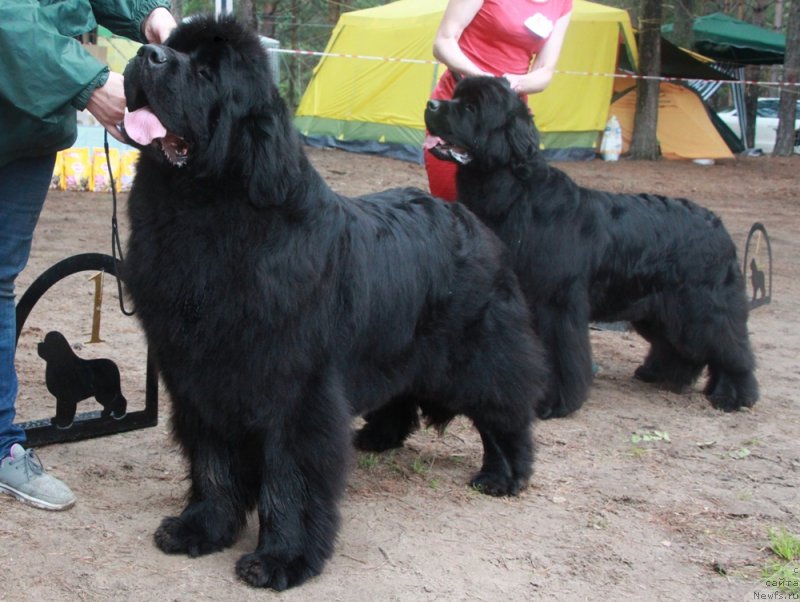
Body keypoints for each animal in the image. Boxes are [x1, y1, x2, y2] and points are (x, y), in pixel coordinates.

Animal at [122, 17, 548, 584]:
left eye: (207, 73)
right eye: (172, 48)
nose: (147, 54)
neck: (201, 213)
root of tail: (470, 218)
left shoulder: (296, 389)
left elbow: (289, 478)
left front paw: (281, 559)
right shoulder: (199, 377)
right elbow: (213, 463)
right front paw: (200, 529)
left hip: (478, 353)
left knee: (503, 409)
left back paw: (505, 475)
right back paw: (378, 437)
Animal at [424, 75, 756, 418]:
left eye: (472, 107)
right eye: (455, 95)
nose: (431, 104)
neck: (516, 194)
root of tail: (717, 223)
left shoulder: (554, 302)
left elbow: (557, 353)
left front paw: (551, 402)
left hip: (704, 305)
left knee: (731, 348)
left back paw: (733, 396)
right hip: (660, 308)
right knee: (677, 345)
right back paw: (659, 374)